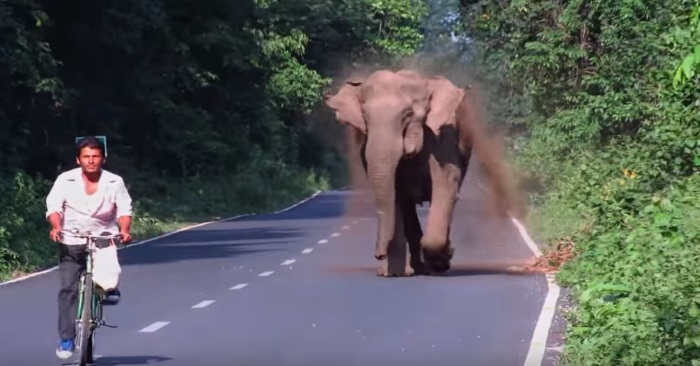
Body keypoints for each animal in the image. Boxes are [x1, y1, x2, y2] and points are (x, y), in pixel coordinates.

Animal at [324, 68, 482, 276]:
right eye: (365, 117)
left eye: (407, 115)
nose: (379, 255)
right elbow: (395, 194)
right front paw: (392, 273)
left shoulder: (443, 139)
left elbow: (445, 185)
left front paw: (439, 263)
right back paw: (413, 268)